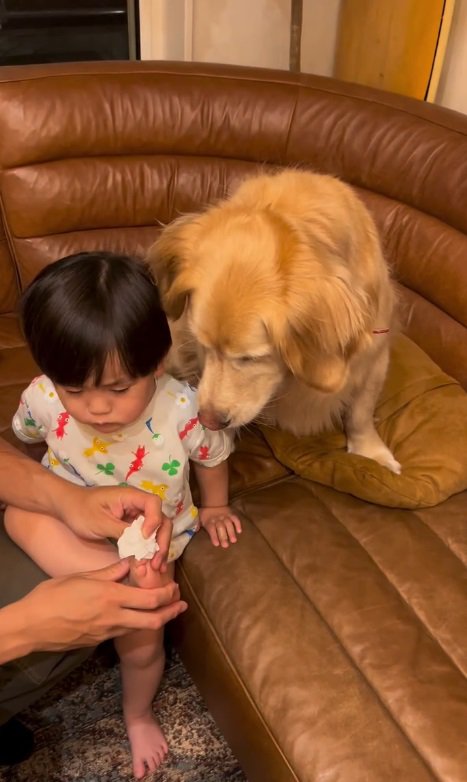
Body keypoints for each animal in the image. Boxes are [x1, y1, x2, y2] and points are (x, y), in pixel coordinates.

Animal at [150, 169, 402, 474]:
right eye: (203, 346)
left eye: (250, 358)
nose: (209, 420)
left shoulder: (374, 356)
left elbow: (361, 411)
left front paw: (370, 450)